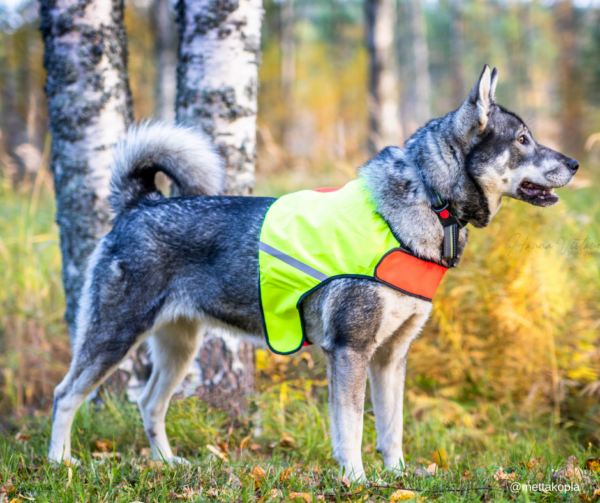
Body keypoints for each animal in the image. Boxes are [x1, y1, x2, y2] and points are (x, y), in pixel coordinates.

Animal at [50, 67, 576, 480]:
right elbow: (352, 428)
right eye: (523, 140)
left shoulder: (391, 357)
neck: (430, 198)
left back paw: (166, 463)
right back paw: (60, 464)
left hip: (180, 345)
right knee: (66, 395)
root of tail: (141, 203)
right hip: (115, 333)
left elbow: (391, 429)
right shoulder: (350, 350)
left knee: (149, 403)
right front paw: (357, 479)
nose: (573, 163)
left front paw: (399, 478)